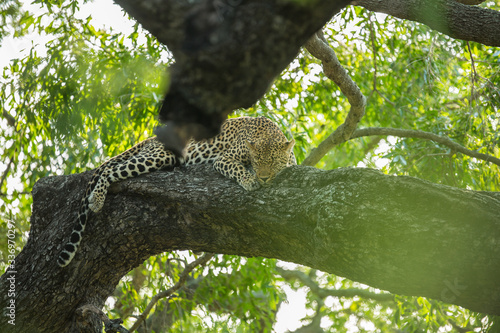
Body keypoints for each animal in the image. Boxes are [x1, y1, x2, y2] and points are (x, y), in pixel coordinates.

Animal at [56, 115, 294, 266]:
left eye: (273, 162)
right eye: (257, 161)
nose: (263, 177)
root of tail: (150, 139)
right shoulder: (224, 159)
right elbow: (237, 168)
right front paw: (250, 180)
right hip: (160, 155)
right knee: (110, 169)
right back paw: (96, 199)